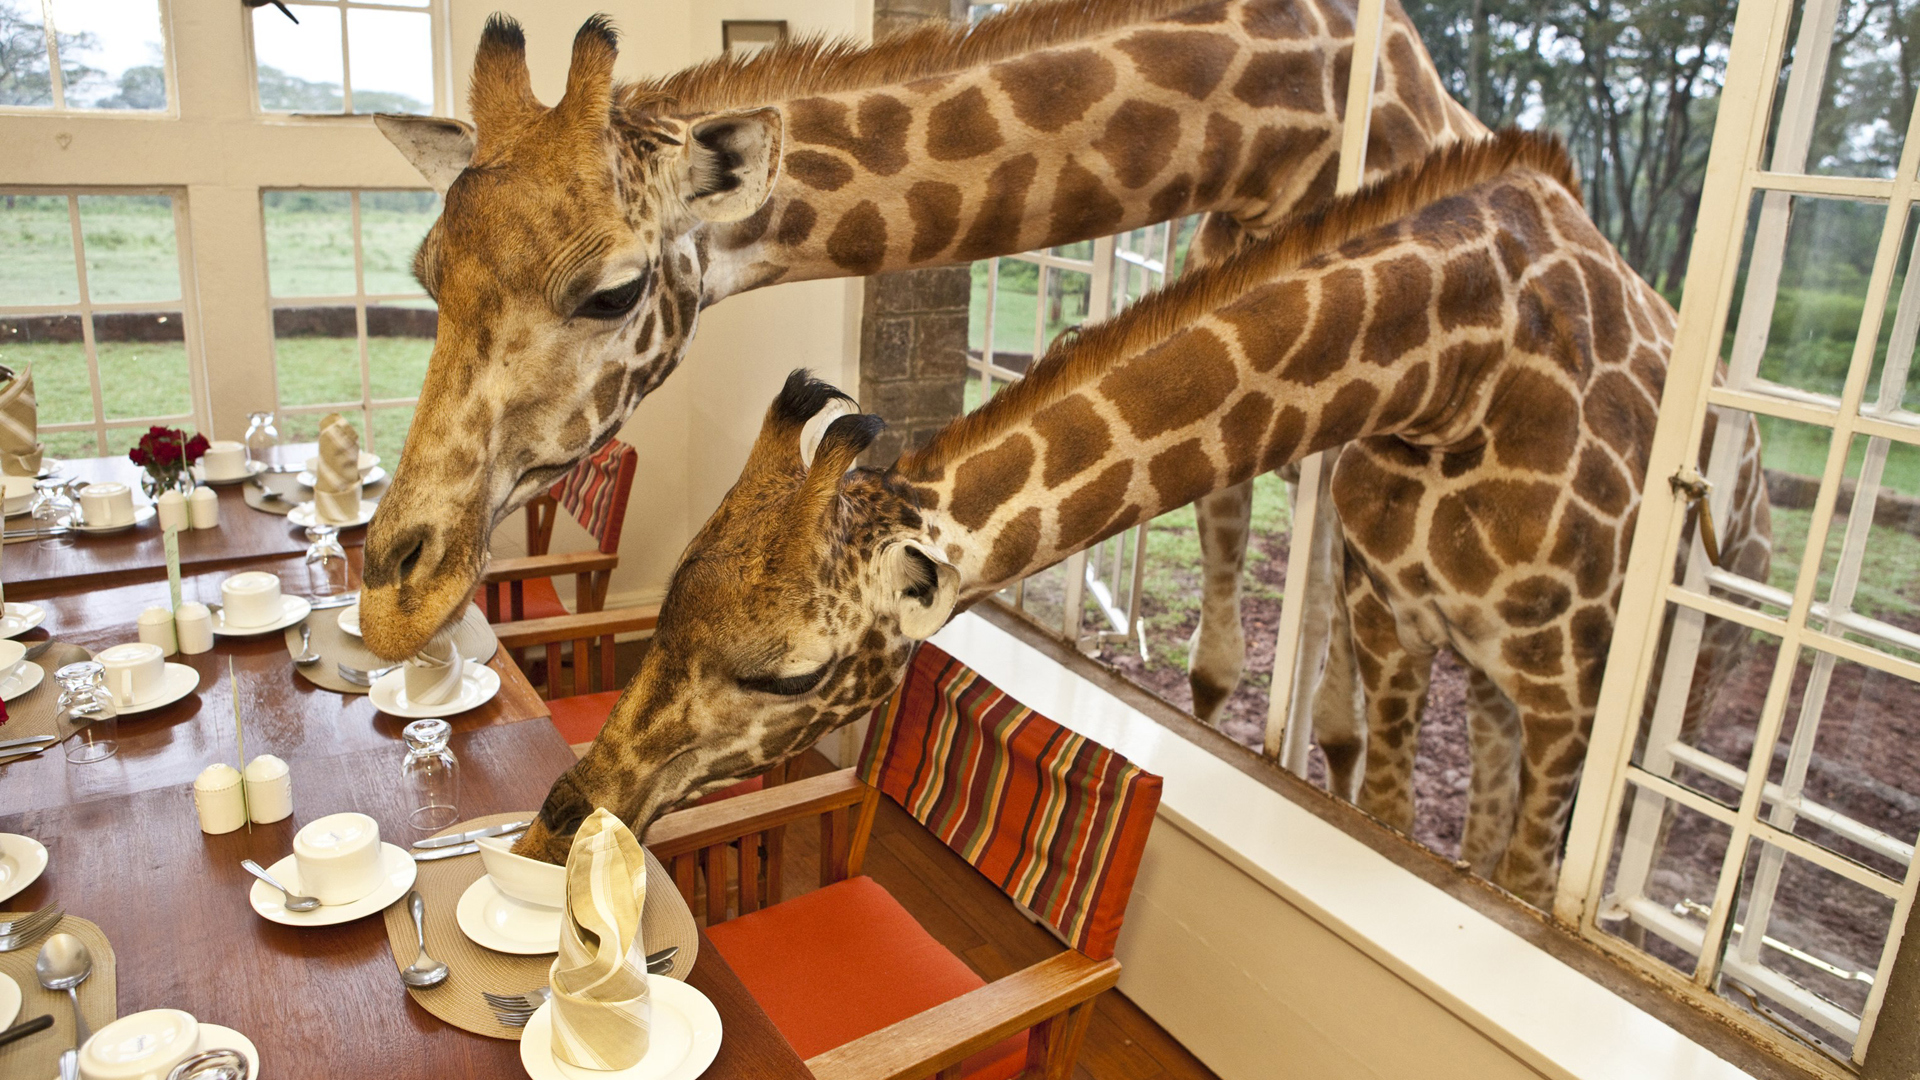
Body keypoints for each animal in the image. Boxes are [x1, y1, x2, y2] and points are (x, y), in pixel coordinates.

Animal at [513, 130, 1673, 907]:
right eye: (665, 607)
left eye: (792, 674)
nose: (554, 821)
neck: (1456, 352)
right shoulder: (1417, 639)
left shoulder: (1565, 688)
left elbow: (1518, 868)